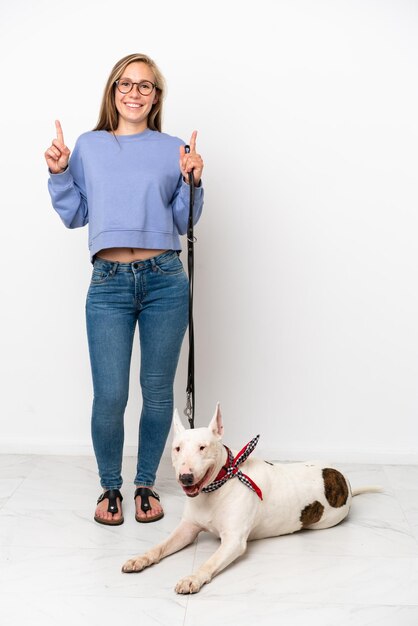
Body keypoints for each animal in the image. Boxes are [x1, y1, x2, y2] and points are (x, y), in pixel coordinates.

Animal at [121, 402, 382, 592]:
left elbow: (210, 562)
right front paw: (140, 559)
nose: (186, 477)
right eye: (177, 448)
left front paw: (192, 578)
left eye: (203, 447)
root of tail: (343, 479)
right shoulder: (187, 529)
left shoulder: (234, 541)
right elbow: (160, 546)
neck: (218, 485)